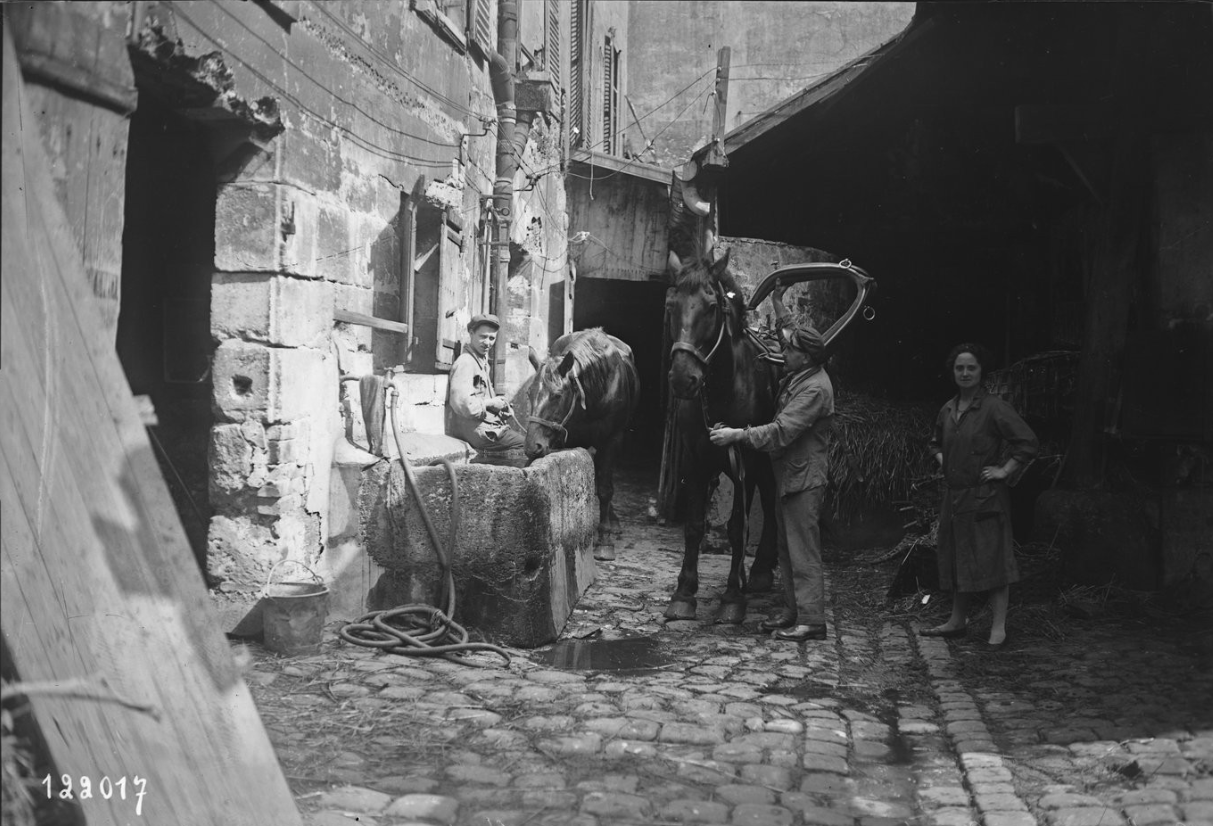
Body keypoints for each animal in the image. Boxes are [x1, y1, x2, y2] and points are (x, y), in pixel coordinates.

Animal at [525, 328, 640, 561]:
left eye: (557, 395)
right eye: (529, 393)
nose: (533, 446)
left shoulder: (612, 440)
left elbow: (605, 488)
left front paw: (604, 540)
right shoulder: (562, 438)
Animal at [664, 248, 780, 624]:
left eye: (712, 306)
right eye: (671, 304)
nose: (682, 378)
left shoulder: (747, 461)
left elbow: (737, 529)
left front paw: (732, 597)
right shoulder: (695, 460)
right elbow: (694, 525)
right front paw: (684, 593)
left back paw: (759, 572)